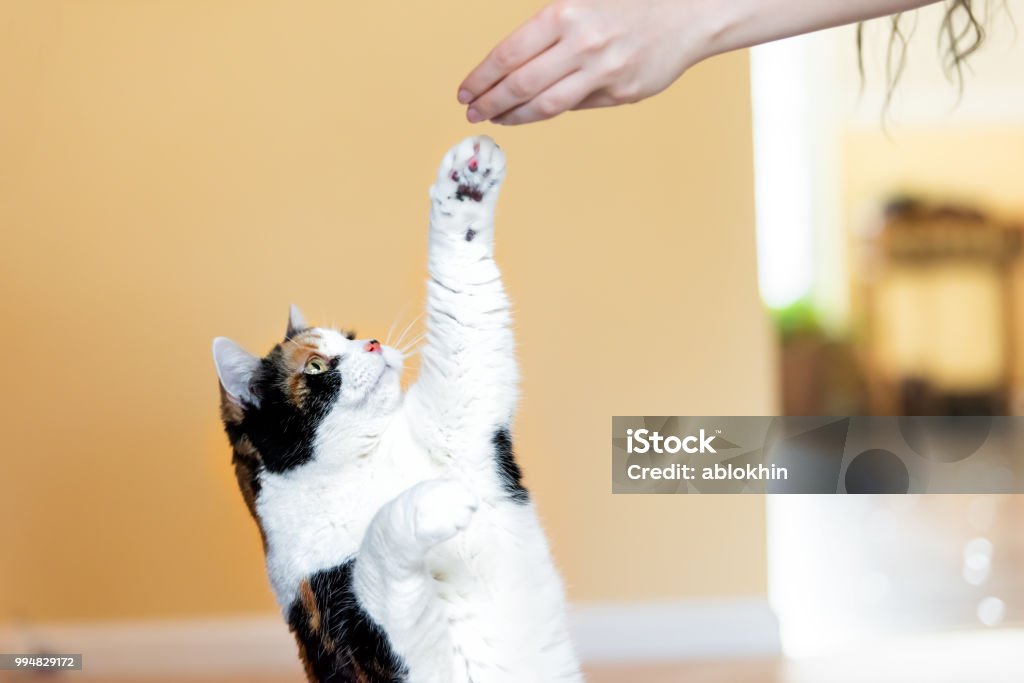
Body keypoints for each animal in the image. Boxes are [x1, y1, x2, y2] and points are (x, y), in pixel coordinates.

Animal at [214, 137, 585, 683]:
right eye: (318, 365)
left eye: (348, 336)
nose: (370, 343)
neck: (365, 464)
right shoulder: (362, 630)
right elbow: (375, 552)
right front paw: (437, 500)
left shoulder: (461, 412)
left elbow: (465, 295)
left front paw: (468, 180)